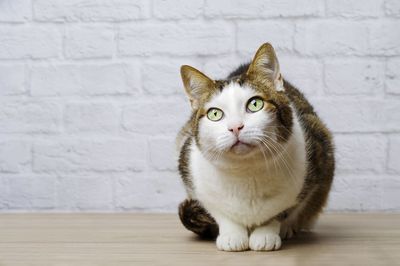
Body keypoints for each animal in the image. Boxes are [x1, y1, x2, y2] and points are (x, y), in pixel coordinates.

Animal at [176, 42, 334, 251]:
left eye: (255, 104)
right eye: (215, 114)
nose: (235, 127)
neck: (246, 172)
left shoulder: (318, 154)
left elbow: (282, 211)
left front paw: (266, 234)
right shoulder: (191, 172)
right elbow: (220, 212)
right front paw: (232, 235)